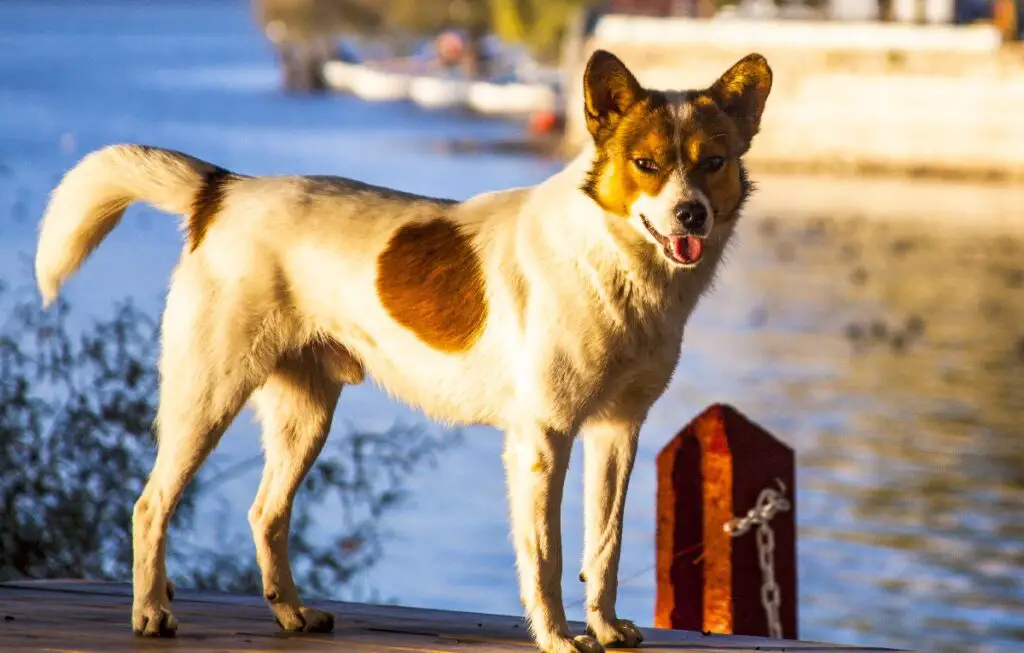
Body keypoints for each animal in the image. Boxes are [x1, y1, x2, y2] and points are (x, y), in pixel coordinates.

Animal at [34, 48, 770, 650]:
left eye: (713, 162)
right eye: (646, 164)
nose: (692, 215)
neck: (611, 258)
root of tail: (223, 190)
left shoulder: (618, 430)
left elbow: (605, 545)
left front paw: (607, 626)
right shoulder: (544, 437)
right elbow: (547, 553)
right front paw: (560, 636)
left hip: (304, 416)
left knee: (265, 511)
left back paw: (291, 614)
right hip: (207, 396)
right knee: (151, 503)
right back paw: (151, 612)